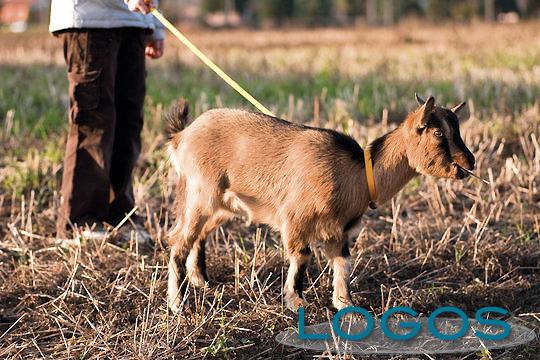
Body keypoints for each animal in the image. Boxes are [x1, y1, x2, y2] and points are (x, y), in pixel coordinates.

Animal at [167, 95, 474, 312]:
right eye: (438, 134)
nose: (469, 163)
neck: (358, 173)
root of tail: (182, 136)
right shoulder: (295, 219)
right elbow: (302, 256)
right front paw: (296, 302)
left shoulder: (339, 231)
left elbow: (342, 263)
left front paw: (345, 304)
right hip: (201, 194)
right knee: (178, 241)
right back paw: (176, 303)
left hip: (222, 205)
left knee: (198, 237)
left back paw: (200, 281)